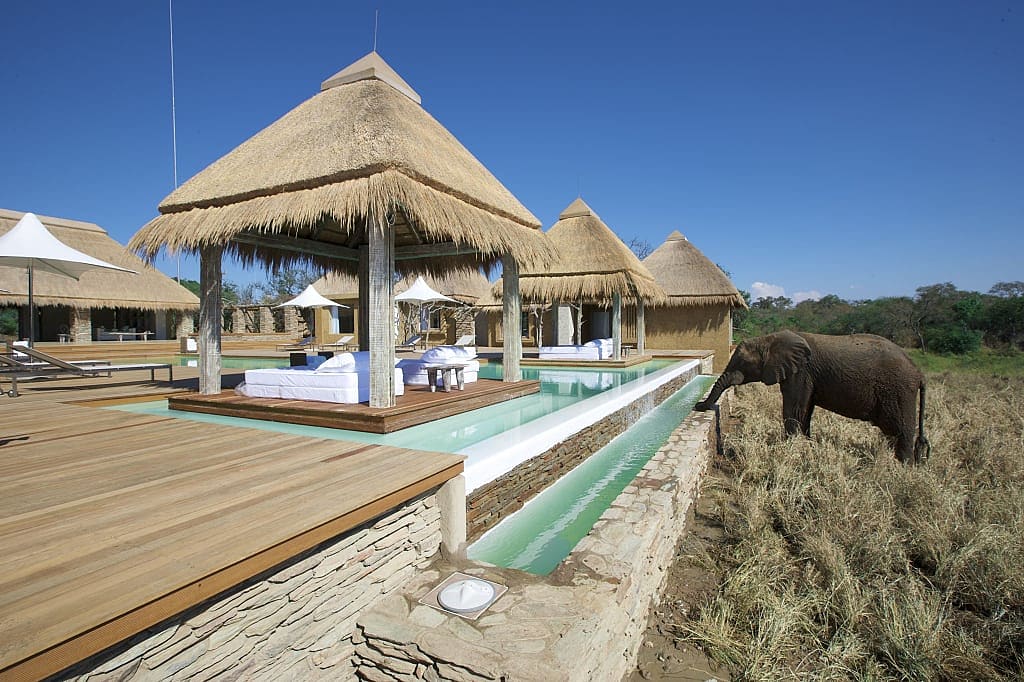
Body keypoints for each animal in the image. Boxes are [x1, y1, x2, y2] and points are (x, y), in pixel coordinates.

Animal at [694, 330, 930, 463]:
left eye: (743, 363)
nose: (697, 405)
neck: (770, 339)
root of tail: (919, 373)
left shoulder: (801, 372)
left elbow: (795, 408)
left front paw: (790, 449)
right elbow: (805, 410)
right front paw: (805, 445)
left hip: (899, 391)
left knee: (900, 429)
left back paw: (903, 467)